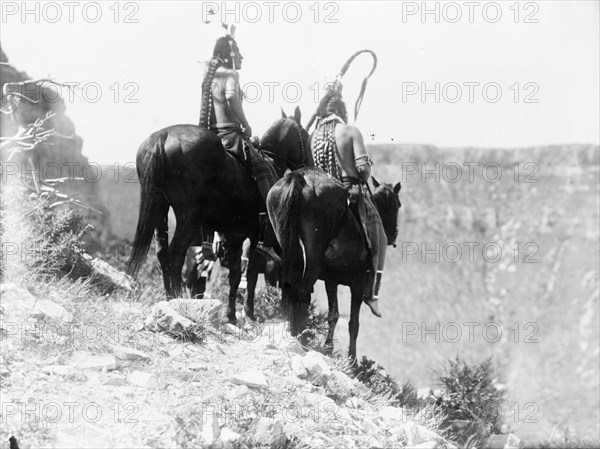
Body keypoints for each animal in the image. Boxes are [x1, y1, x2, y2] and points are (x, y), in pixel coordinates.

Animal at [130, 107, 310, 320]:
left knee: (163, 254)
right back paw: (177, 300)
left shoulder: (234, 236)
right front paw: (244, 314)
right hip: (188, 218)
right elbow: (245, 276)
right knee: (175, 256)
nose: (308, 163)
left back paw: (169, 298)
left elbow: (237, 275)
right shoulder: (249, 237)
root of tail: (163, 135)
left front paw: (235, 314)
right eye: (305, 135)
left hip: (160, 210)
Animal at [268, 167, 400, 360]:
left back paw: (293, 335)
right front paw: (352, 360)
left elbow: (333, 315)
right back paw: (301, 339)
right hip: (313, 259)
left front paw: (329, 349)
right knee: (302, 292)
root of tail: (300, 175)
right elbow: (354, 323)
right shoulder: (358, 284)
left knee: (291, 289)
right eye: (398, 204)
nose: (393, 236)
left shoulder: (332, 281)